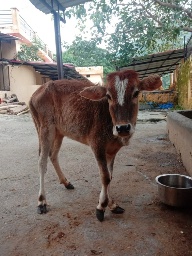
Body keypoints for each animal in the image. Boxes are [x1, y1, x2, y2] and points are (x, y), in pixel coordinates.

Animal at [29, 69, 162, 221]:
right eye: (109, 96)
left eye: (136, 93)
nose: (122, 128)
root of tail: (37, 91)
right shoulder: (97, 145)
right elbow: (105, 177)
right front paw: (101, 207)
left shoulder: (112, 151)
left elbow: (110, 177)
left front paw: (112, 205)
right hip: (45, 128)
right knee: (42, 162)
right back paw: (41, 201)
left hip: (59, 132)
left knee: (53, 155)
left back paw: (66, 182)